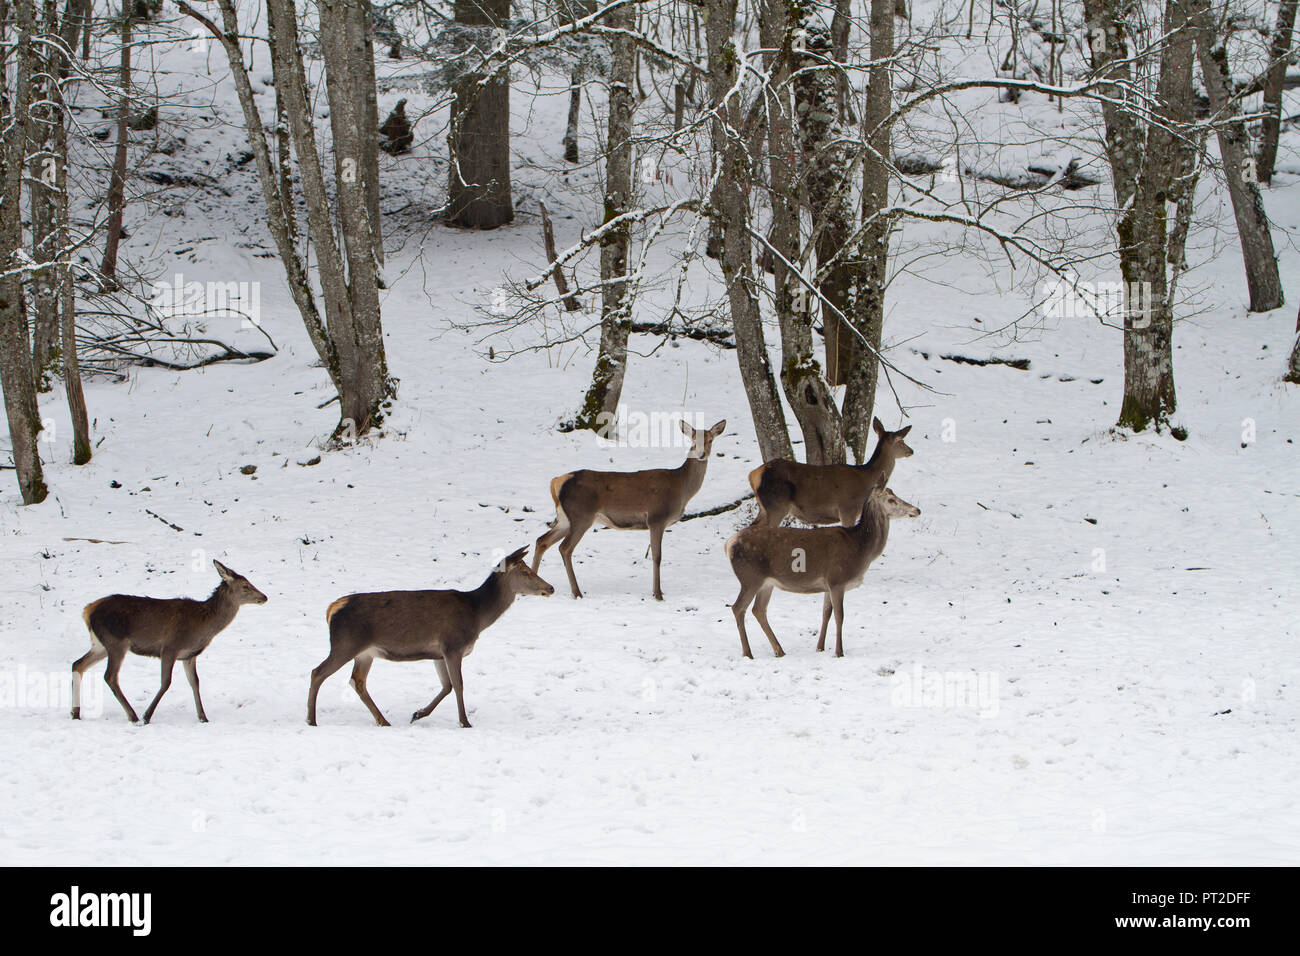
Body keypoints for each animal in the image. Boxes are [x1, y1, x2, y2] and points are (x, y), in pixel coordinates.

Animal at [71, 561, 269, 723]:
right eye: (245, 586)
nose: (264, 597)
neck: (203, 627)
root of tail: (87, 611)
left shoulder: (189, 655)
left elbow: (195, 682)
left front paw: (203, 717)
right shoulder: (169, 648)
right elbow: (166, 682)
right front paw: (147, 716)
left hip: (100, 644)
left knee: (78, 664)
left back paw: (75, 712)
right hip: (116, 642)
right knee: (110, 675)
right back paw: (133, 715)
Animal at [308, 548, 553, 728]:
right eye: (526, 572)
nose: (550, 588)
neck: (477, 615)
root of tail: (331, 609)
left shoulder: (438, 653)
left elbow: (447, 686)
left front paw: (418, 713)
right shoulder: (453, 645)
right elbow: (459, 684)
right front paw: (465, 722)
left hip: (366, 652)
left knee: (357, 681)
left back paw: (383, 720)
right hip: (346, 643)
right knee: (317, 672)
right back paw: (311, 719)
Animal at [533, 416, 728, 598]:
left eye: (710, 439)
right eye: (693, 439)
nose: (701, 454)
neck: (681, 488)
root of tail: (556, 482)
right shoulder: (657, 517)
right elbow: (657, 557)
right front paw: (658, 594)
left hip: (565, 518)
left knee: (541, 540)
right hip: (581, 515)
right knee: (564, 548)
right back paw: (577, 592)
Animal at [728, 486, 920, 658]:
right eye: (891, 500)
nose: (917, 510)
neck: (860, 549)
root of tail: (729, 544)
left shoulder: (828, 584)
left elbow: (826, 613)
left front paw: (820, 647)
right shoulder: (837, 579)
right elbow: (839, 616)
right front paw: (839, 652)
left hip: (767, 583)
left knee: (758, 610)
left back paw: (779, 650)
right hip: (750, 578)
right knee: (738, 608)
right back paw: (748, 653)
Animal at [743, 416, 915, 528]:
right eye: (901, 441)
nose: (911, 450)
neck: (867, 478)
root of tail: (753, 475)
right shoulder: (848, 509)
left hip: (764, 508)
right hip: (776, 505)